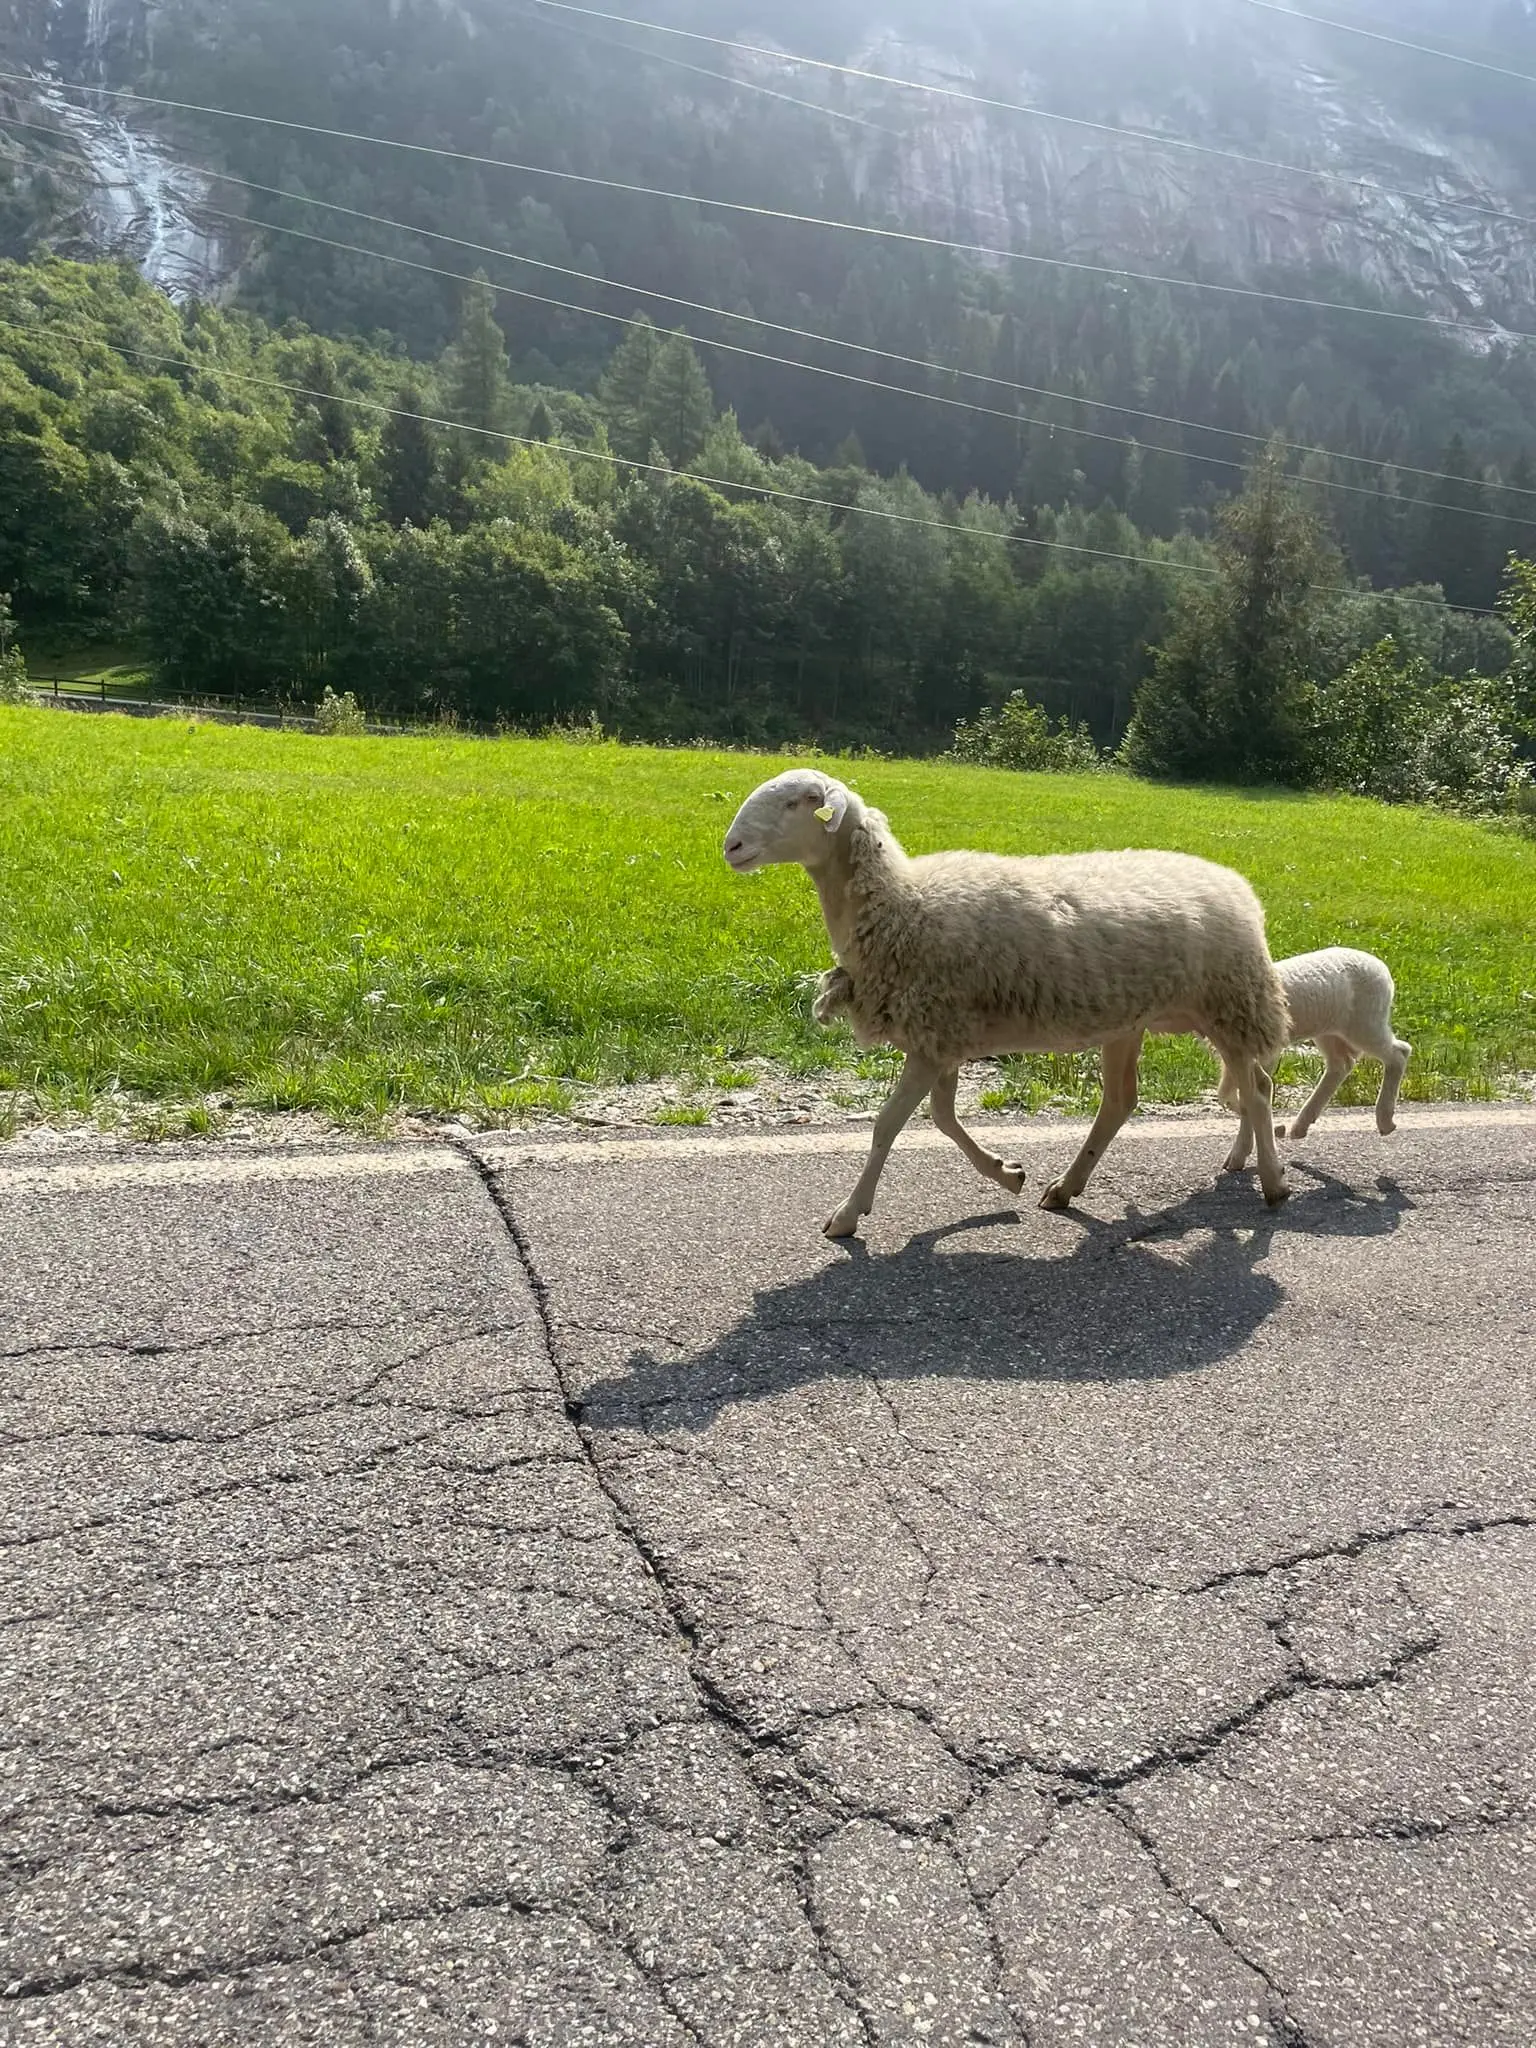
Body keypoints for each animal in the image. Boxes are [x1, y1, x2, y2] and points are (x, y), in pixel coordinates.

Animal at [729, 770, 1294, 1236]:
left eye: (799, 802)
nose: (730, 846)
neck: (901, 904)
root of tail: (1239, 887)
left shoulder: (932, 1036)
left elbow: (889, 1124)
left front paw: (848, 1215)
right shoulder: (940, 1035)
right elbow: (941, 1117)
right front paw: (1006, 1174)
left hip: (1230, 1000)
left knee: (1256, 1089)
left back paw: (1273, 1182)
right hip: (1136, 1021)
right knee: (1125, 1101)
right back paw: (1068, 1188)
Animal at [1220, 946, 1417, 1171]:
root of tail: (1382, 968)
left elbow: (1249, 1094)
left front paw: (1238, 1156)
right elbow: (1227, 1092)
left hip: (1365, 1022)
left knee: (1399, 1052)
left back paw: (1385, 1121)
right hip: (1329, 1029)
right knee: (1341, 1064)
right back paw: (1300, 1126)